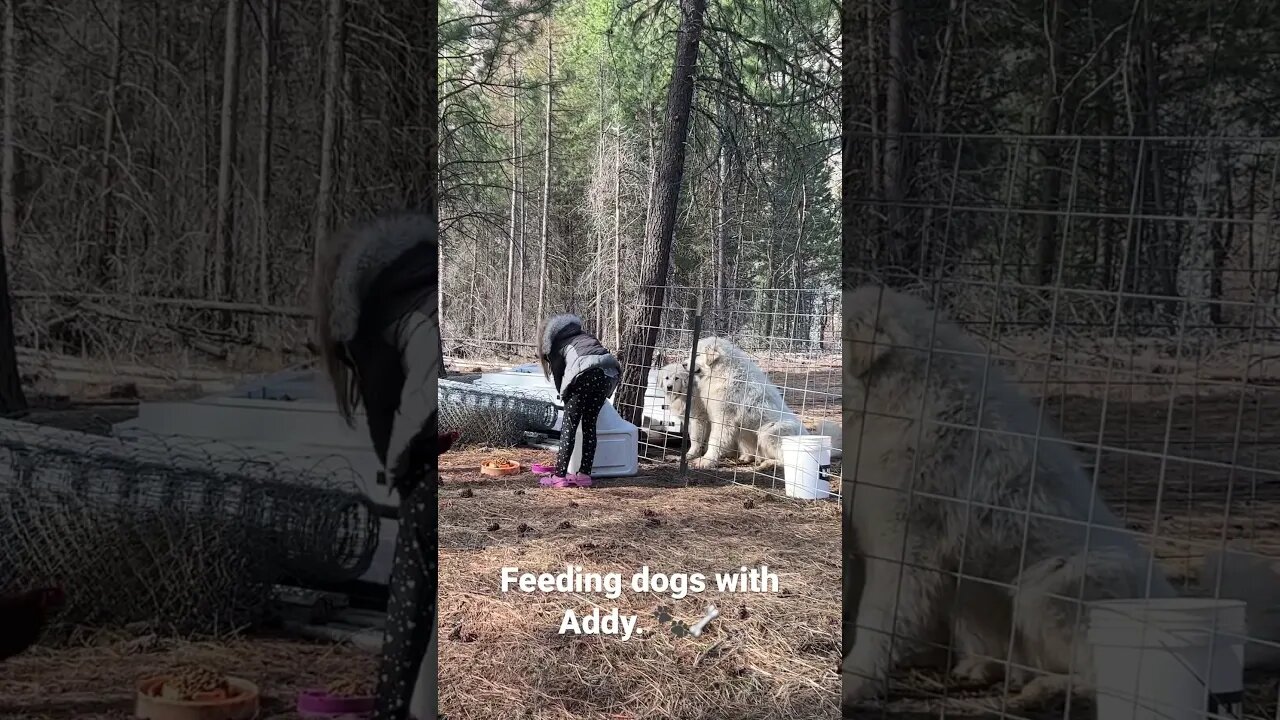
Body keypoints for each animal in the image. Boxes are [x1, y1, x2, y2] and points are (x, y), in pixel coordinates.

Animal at [686, 335, 803, 471]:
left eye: (697, 354)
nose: (683, 364)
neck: (723, 371)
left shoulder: (724, 419)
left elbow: (714, 441)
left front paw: (706, 461)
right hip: (746, 433)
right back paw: (749, 457)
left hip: (769, 431)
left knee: (786, 461)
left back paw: (768, 464)